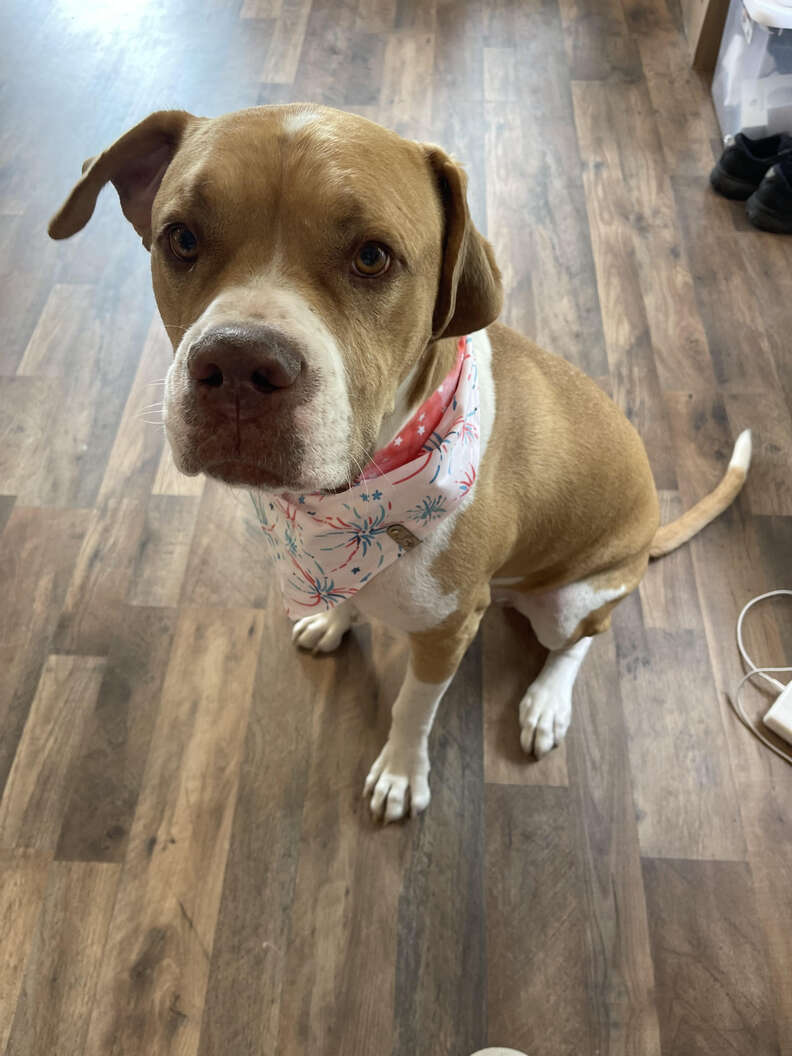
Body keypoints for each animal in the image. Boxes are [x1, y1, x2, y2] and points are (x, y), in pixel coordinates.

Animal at [46, 100, 751, 823]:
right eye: (181, 239)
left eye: (372, 257)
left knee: (582, 637)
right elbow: (346, 597)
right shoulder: (342, 567)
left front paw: (401, 773)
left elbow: (414, 707)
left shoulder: (445, 633)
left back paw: (547, 702)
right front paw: (334, 618)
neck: (350, 500)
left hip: (574, 596)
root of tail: (648, 529)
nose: (238, 363)